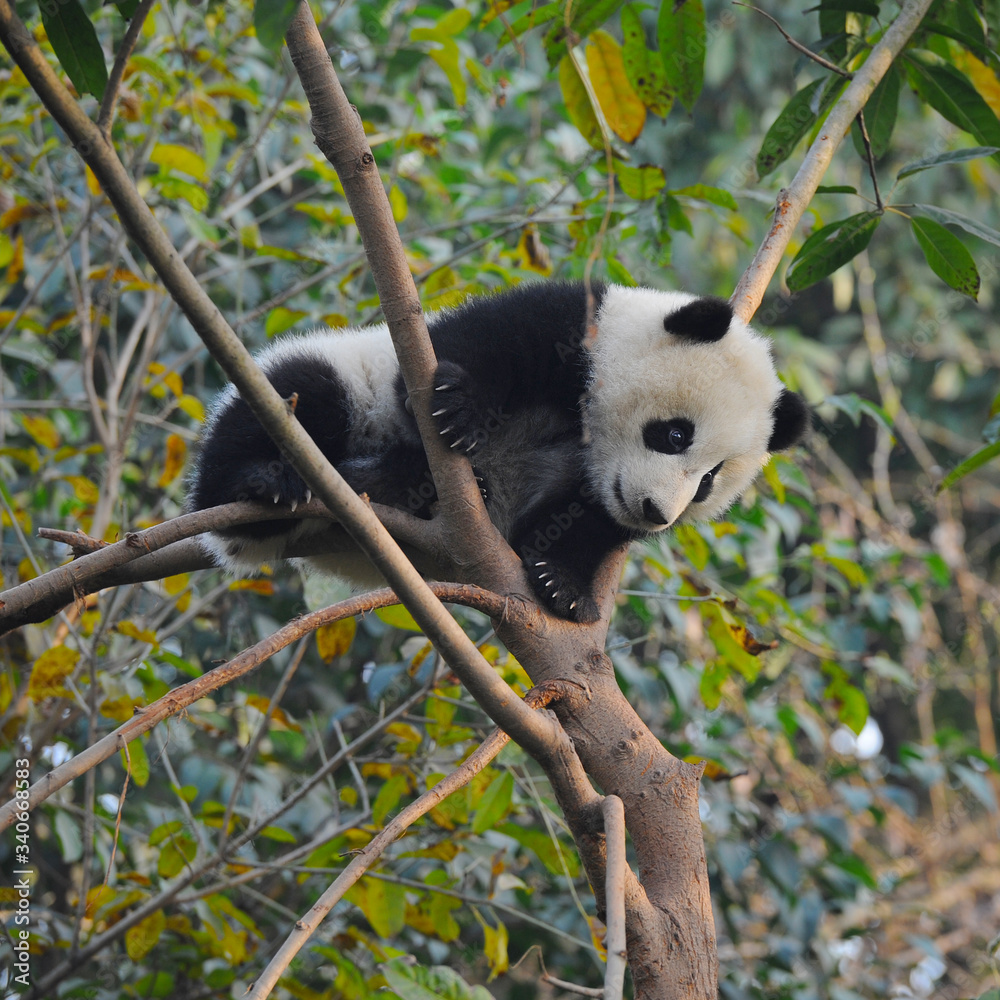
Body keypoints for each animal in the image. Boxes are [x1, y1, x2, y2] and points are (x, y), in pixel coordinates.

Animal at [188, 282, 808, 623]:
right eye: (675, 434)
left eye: (708, 483)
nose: (655, 512)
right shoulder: (569, 322)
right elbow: (463, 360)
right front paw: (459, 414)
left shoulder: (590, 489)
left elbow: (581, 523)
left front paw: (564, 586)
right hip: (333, 383)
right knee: (299, 398)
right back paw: (269, 483)